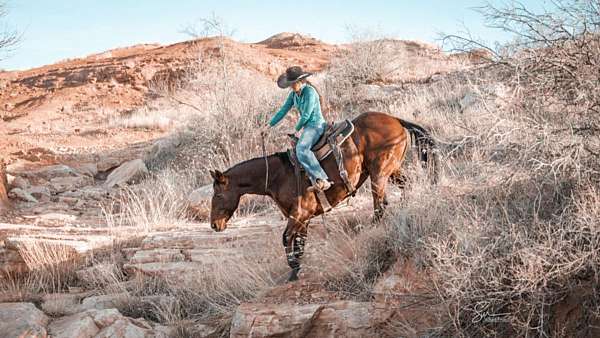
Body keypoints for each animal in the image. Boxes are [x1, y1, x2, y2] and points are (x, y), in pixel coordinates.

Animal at [209, 112, 434, 282]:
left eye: (218, 195)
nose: (213, 225)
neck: (277, 176)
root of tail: (395, 119)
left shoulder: (299, 215)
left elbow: (286, 238)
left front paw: (293, 265)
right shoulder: (304, 219)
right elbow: (300, 243)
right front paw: (295, 272)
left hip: (379, 174)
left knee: (380, 205)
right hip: (392, 170)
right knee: (407, 186)